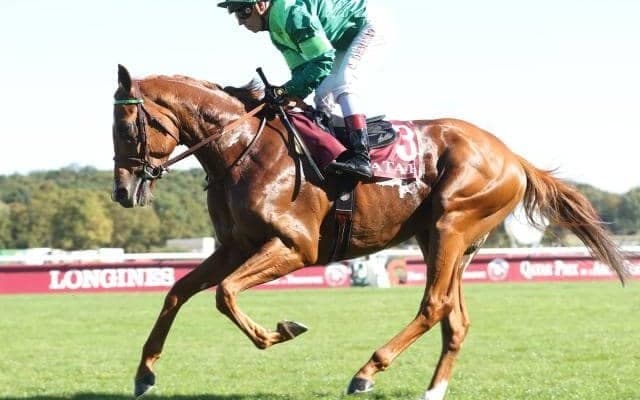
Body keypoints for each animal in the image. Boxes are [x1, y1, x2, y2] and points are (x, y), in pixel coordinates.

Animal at [111, 64, 629, 400]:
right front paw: (144, 373)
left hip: (451, 223)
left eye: (127, 128)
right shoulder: (235, 246)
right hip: (444, 239)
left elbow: (224, 295)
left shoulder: (295, 247)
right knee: (455, 317)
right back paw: (432, 390)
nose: (122, 190)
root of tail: (512, 156)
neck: (243, 149)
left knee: (434, 304)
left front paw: (280, 331)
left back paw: (366, 372)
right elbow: (177, 292)